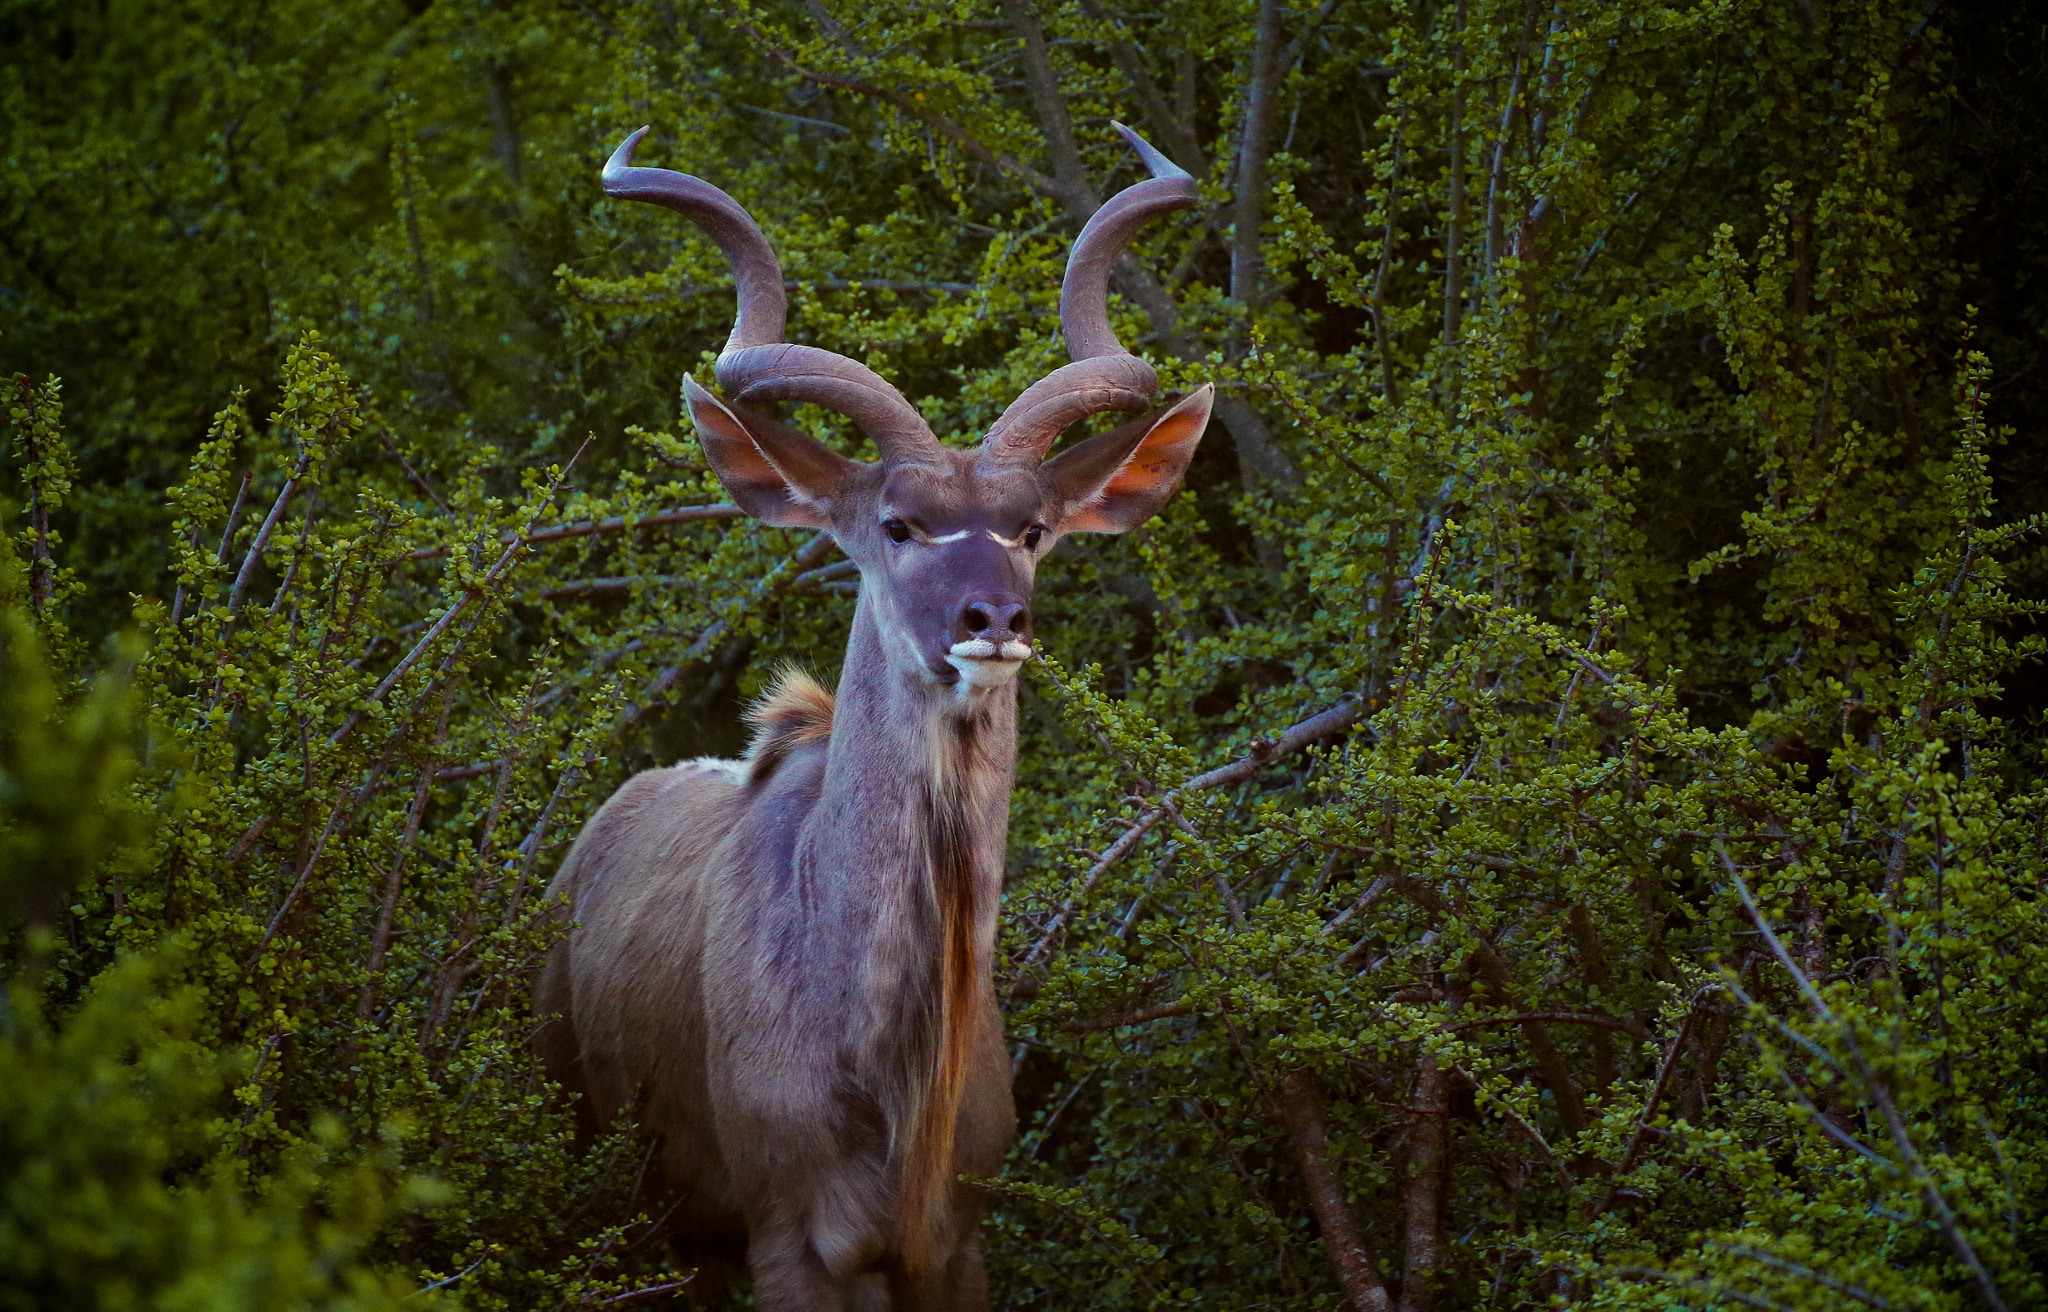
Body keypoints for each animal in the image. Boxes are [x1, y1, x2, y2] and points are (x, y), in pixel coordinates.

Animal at [536, 125, 1212, 1309]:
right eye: (897, 523)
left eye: (1032, 528)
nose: (995, 619)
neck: (893, 1089)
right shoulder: (788, 1242)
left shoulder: (951, 1247)